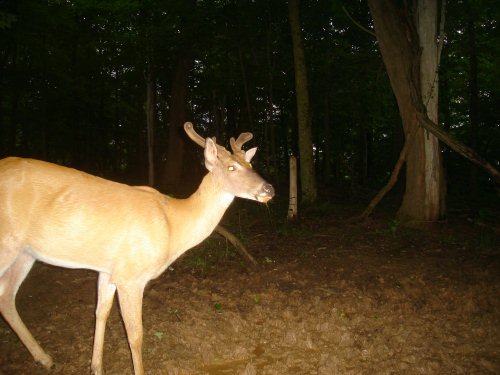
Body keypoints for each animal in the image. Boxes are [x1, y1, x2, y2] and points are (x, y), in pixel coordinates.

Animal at [0, 122, 274, 374]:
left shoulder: (109, 270)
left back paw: (45, 359)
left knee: (6, 297)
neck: (174, 224)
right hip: (7, 243)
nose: (269, 189)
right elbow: (135, 335)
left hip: (26, 252)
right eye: (231, 167)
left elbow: (100, 313)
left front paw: (95, 366)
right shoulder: (131, 275)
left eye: (251, 165)